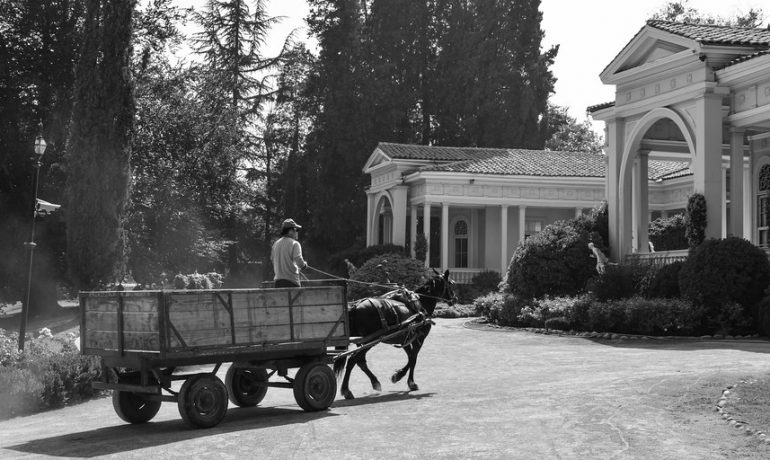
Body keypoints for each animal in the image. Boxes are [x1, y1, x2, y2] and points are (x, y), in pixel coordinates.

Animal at [332, 270, 452, 398]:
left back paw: (374, 382)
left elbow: (410, 357)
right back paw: (346, 390)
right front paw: (408, 381)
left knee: (360, 361)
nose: (454, 298)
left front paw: (400, 376)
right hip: (370, 341)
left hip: (362, 341)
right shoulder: (419, 338)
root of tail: (354, 307)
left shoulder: (405, 339)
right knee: (352, 360)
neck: (421, 304)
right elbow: (413, 359)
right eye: (451, 283)